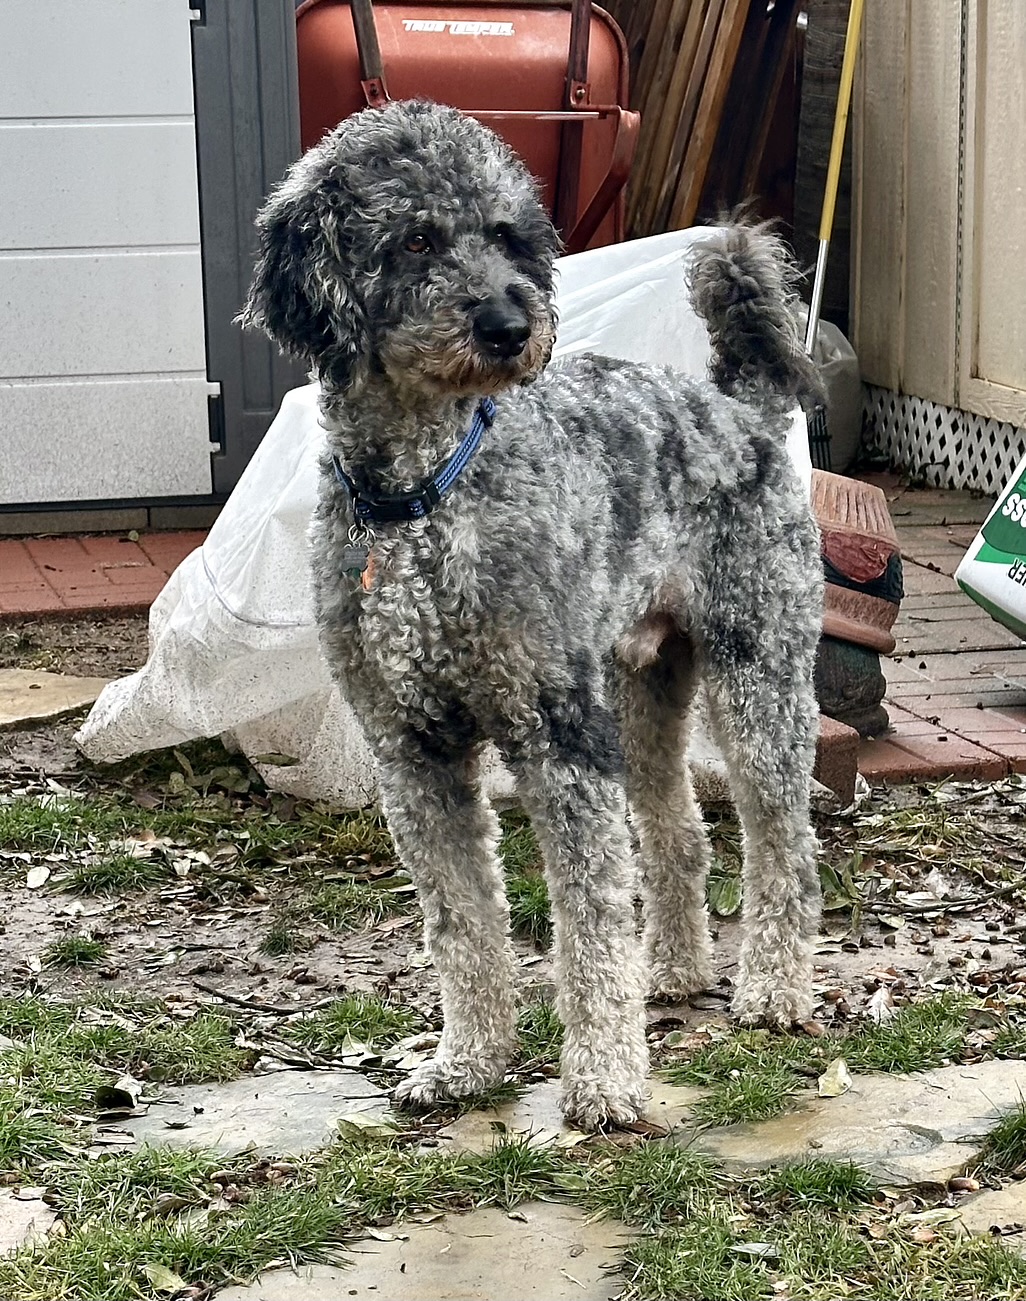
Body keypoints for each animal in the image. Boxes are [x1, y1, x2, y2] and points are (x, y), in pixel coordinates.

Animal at [241, 99, 825, 1130]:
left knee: (783, 841)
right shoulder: (415, 752)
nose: (514, 324)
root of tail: (739, 405)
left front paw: (603, 1081)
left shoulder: (557, 736)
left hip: (757, 679)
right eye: (418, 238)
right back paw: (675, 973)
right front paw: (469, 1062)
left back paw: (775, 990)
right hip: (641, 694)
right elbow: (463, 923)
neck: (426, 499)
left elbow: (587, 922)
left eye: (510, 237)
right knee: (679, 835)